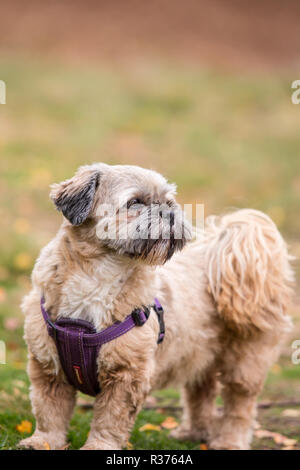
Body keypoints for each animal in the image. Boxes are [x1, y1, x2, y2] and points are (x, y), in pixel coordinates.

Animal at [19, 163, 294, 450]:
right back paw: (193, 432)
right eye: (135, 202)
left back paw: (230, 441)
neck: (97, 278)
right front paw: (43, 442)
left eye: (169, 202)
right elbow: (49, 411)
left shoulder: (126, 376)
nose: (169, 212)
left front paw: (98, 446)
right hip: (198, 352)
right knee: (202, 391)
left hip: (246, 359)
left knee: (240, 403)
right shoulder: (48, 368)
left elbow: (110, 420)